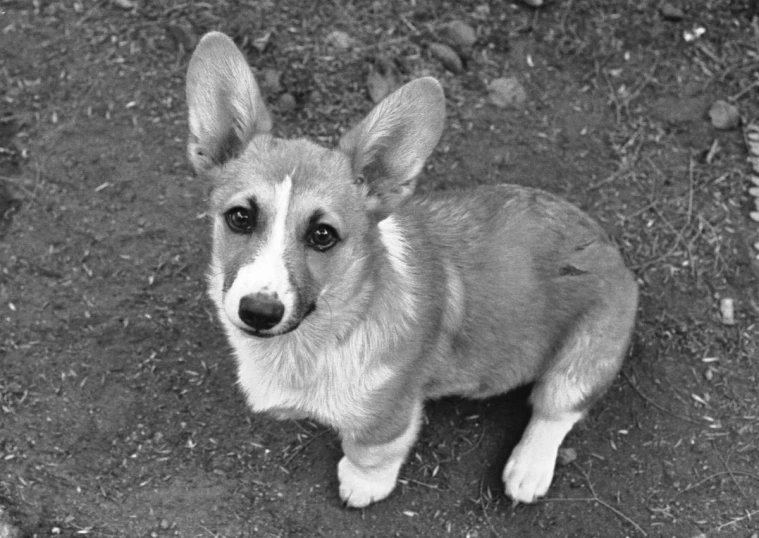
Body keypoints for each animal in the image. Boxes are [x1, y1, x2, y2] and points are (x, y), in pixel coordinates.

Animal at [187, 31, 640, 508]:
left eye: (323, 235)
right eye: (240, 217)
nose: (258, 312)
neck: (324, 331)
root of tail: (610, 249)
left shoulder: (390, 413)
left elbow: (370, 450)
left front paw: (362, 484)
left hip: (581, 361)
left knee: (555, 410)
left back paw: (527, 469)